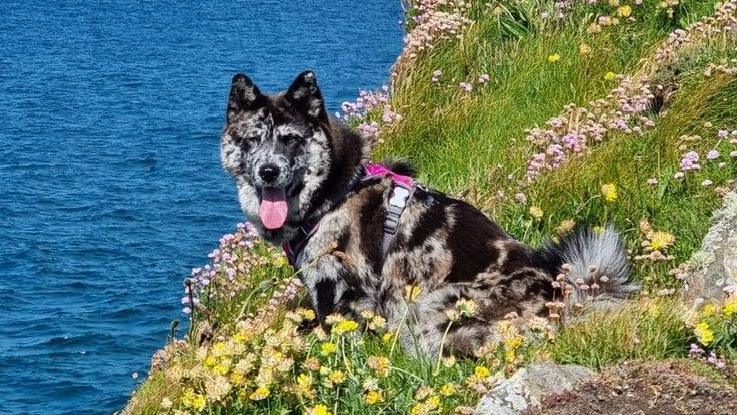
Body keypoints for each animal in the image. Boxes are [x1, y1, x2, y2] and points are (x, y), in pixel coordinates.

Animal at [217, 71, 632, 358]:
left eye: (290, 139)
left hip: (430, 305)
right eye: (251, 140)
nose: (268, 171)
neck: (334, 193)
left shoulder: (341, 290)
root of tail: (564, 298)